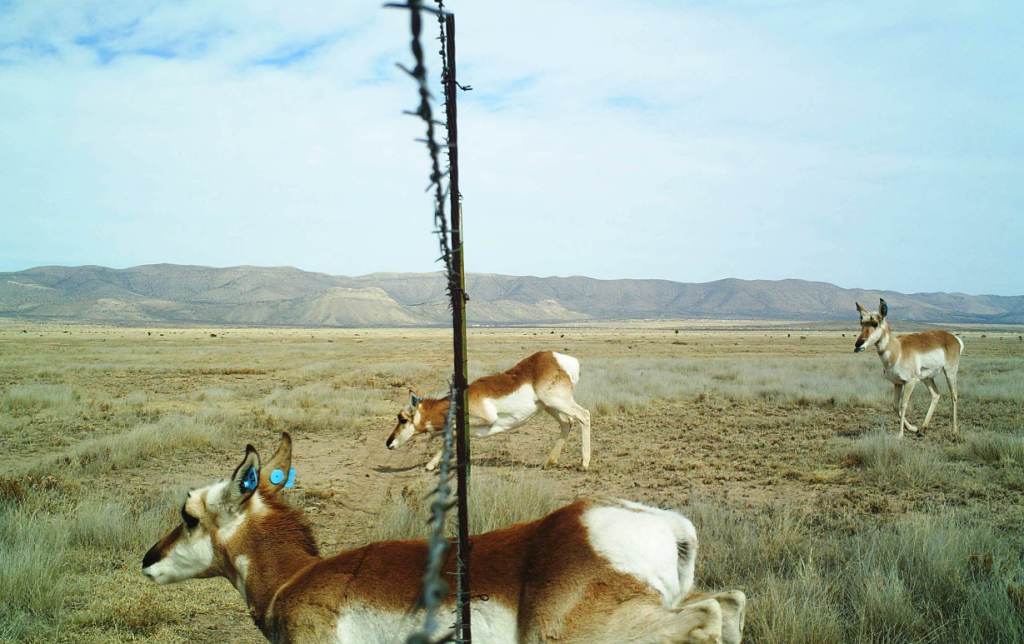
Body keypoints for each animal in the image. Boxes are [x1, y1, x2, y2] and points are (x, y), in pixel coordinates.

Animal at [142, 432, 745, 642]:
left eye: (188, 514)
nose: (147, 560)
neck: (296, 578)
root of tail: (662, 523)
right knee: (730, 603)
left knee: (710, 616)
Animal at [385, 348, 593, 468]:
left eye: (403, 419)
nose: (388, 443)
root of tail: (561, 359)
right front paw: (431, 465)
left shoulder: (485, 419)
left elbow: (451, 430)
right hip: (550, 406)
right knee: (567, 423)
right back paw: (548, 462)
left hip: (558, 402)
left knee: (584, 415)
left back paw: (584, 464)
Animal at [856, 298, 958, 434]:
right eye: (862, 322)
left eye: (875, 323)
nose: (858, 345)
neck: (898, 350)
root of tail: (953, 337)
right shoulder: (897, 383)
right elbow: (895, 406)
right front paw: (913, 428)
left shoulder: (910, 382)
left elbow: (903, 405)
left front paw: (900, 435)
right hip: (927, 378)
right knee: (936, 395)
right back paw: (922, 428)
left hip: (950, 372)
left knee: (954, 396)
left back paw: (954, 430)